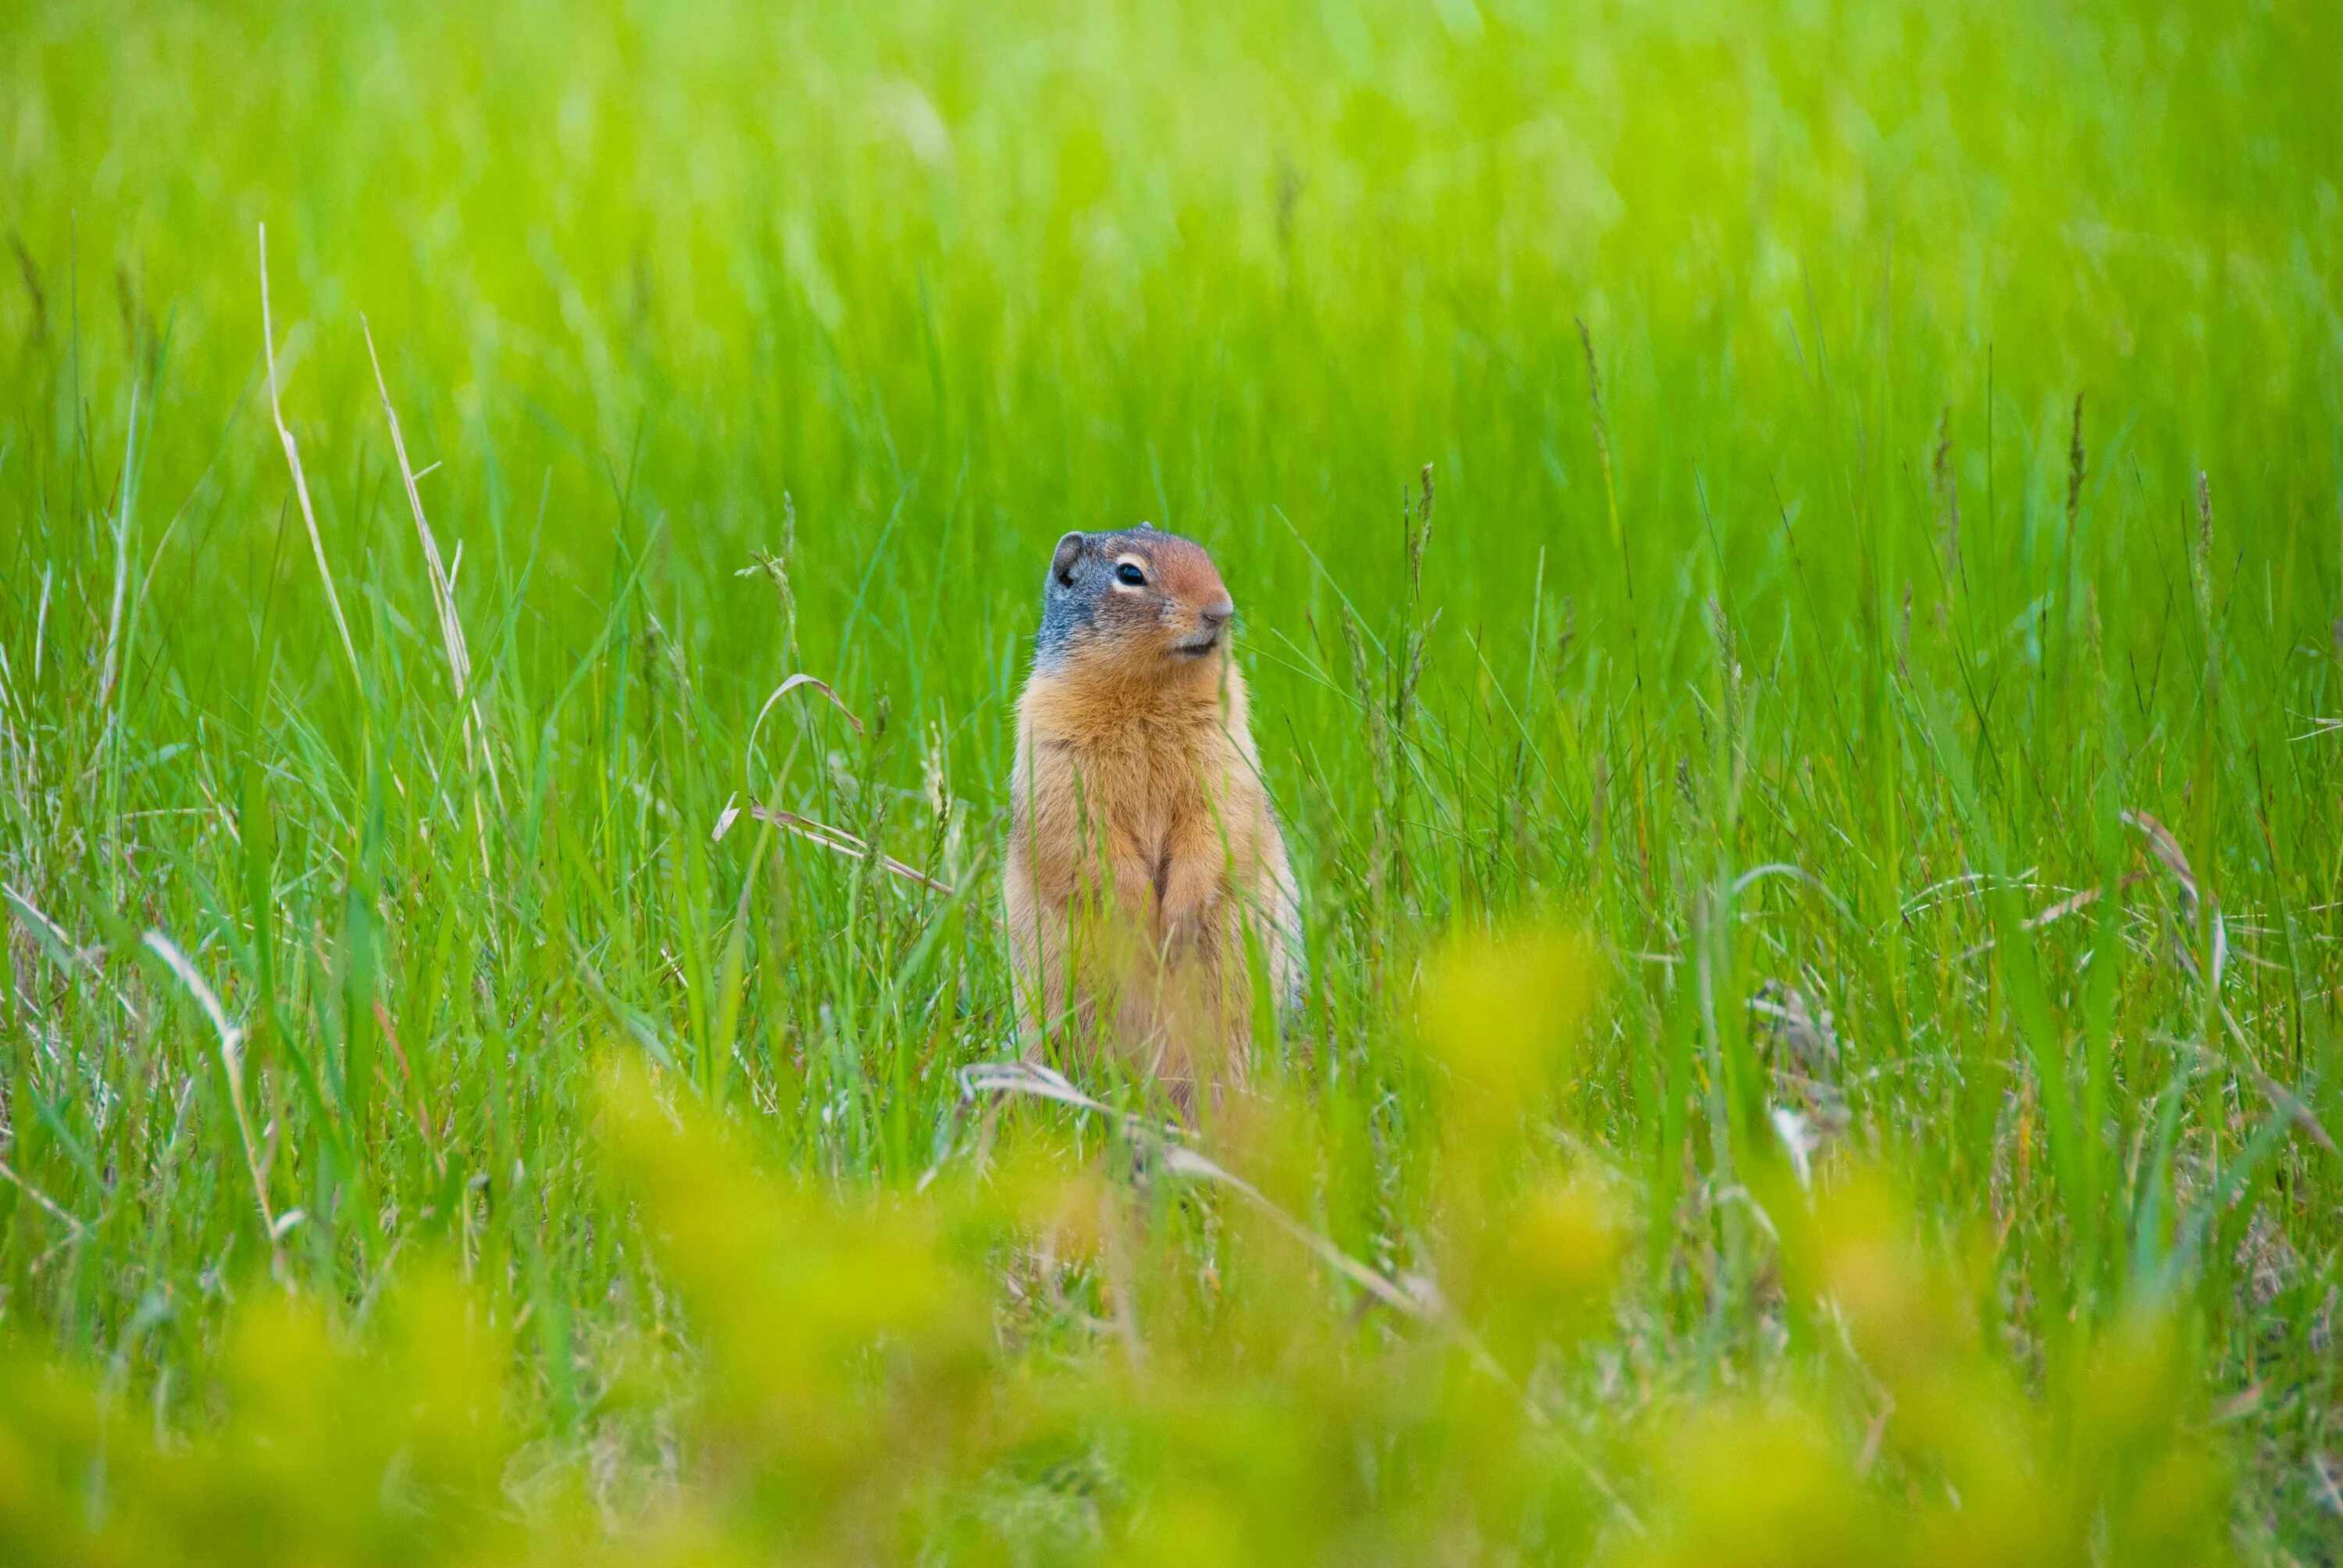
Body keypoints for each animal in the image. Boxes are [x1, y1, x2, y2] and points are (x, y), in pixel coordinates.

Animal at [1003, 520, 1312, 1096]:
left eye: (1202, 553)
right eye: (1130, 574)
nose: (1221, 610)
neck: (1149, 692)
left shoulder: (1224, 747)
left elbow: (1216, 818)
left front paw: (1177, 920)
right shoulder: (1056, 750)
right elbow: (1088, 835)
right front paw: (1143, 917)